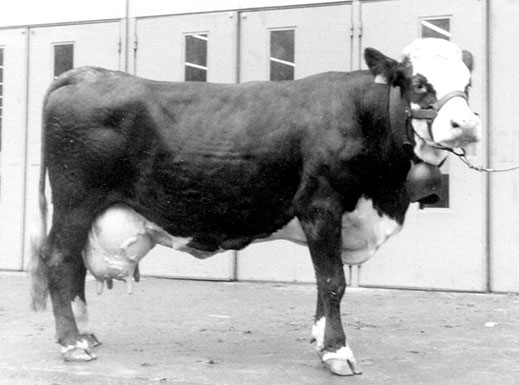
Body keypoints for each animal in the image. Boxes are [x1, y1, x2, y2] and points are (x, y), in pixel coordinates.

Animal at [30, 39, 482, 376]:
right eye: (417, 82)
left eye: (468, 83)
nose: (466, 125)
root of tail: (89, 73)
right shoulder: (320, 205)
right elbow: (333, 281)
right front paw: (337, 351)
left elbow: (322, 281)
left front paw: (321, 338)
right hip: (75, 200)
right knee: (59, 258)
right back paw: (72, 342)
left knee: (73, 264)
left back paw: (84, 333)